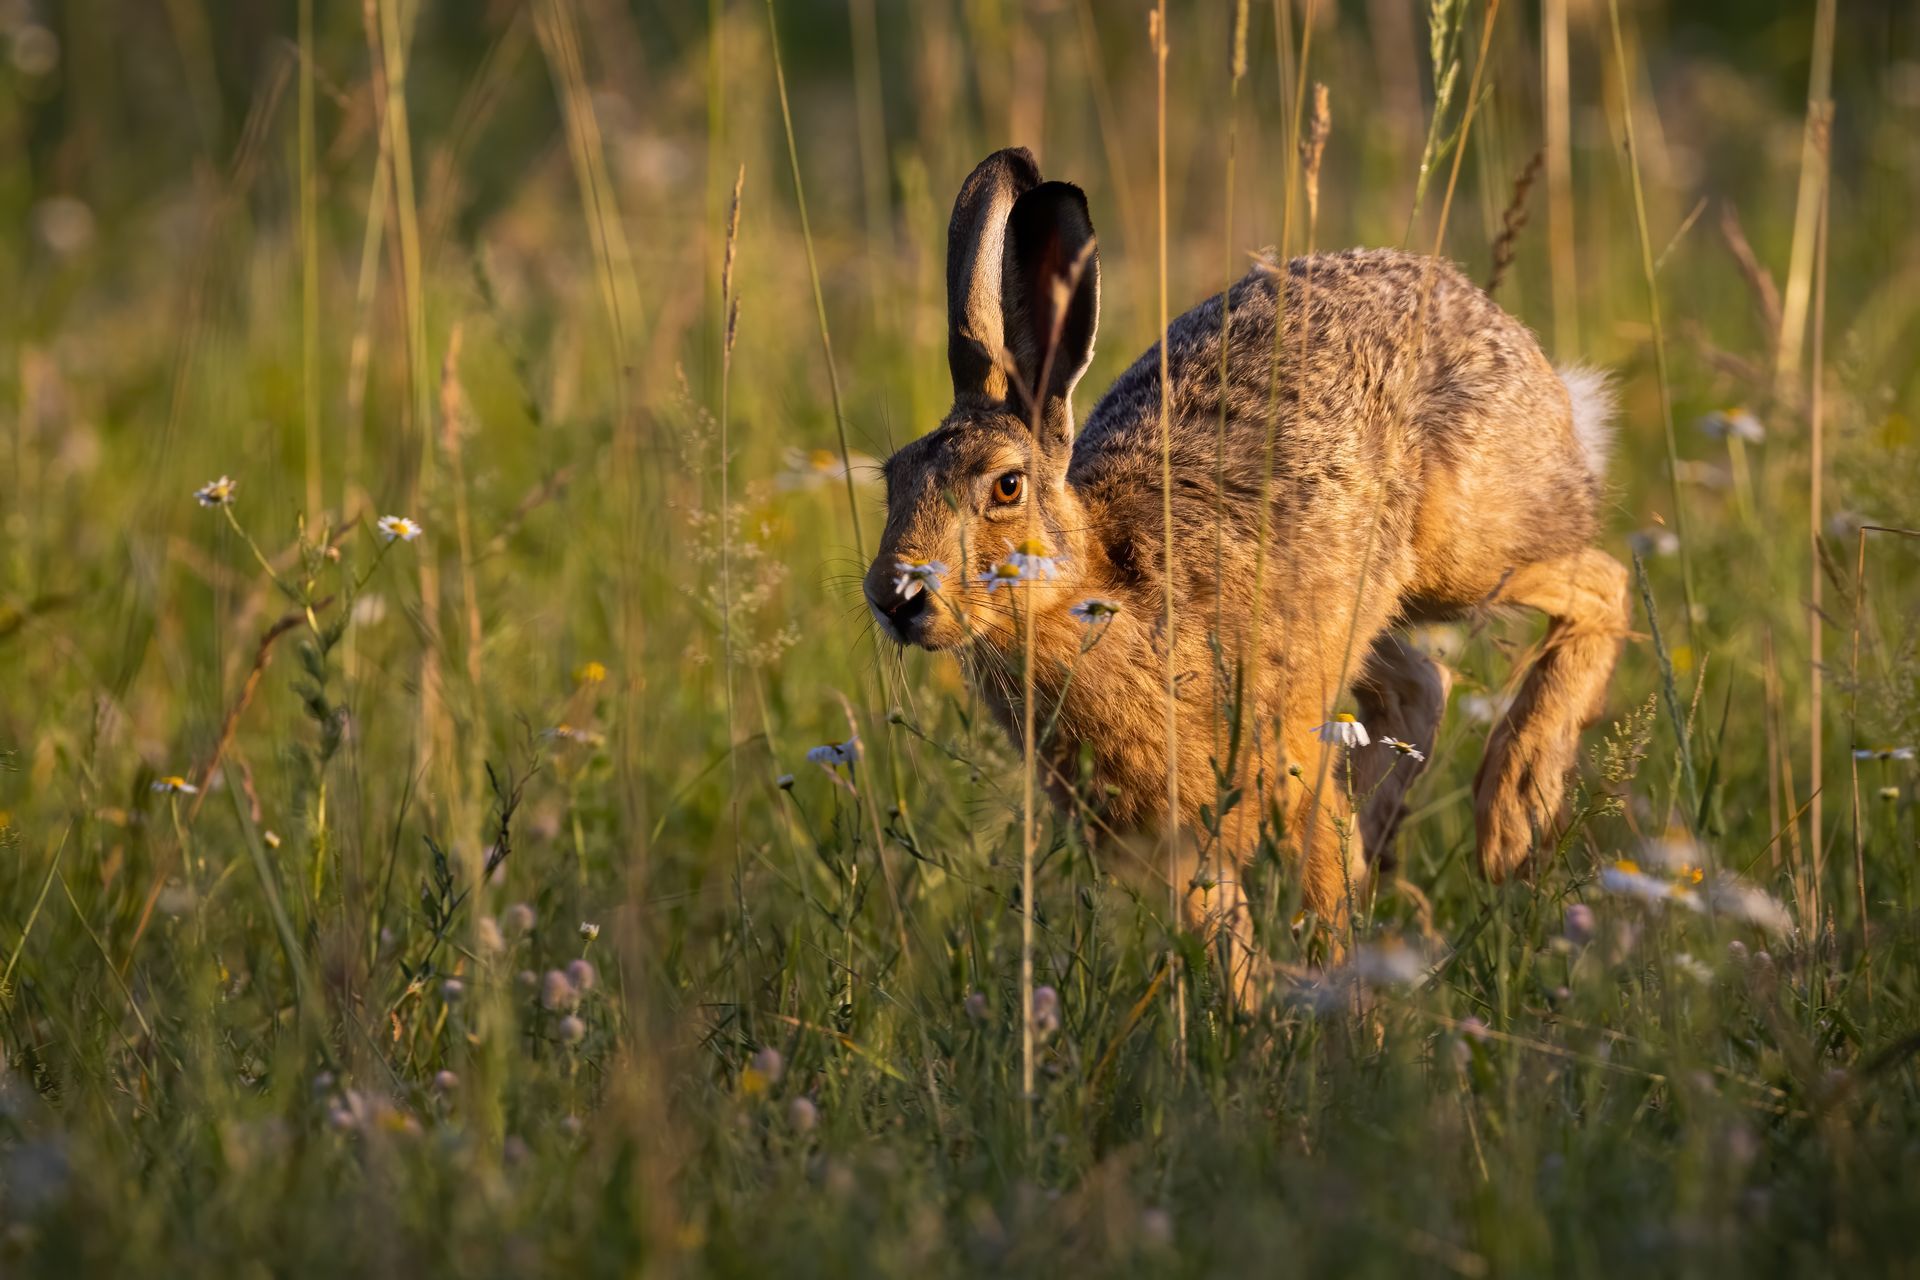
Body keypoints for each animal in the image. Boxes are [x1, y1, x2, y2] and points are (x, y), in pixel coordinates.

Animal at [863, 147, 1630, 984]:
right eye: (893, 480)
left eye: (1006, 487)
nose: (893, 597)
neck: (1096, 589)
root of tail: (1488, 315)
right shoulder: (1176, 849)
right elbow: (1227, 954)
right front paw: (1259, 1010)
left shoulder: (1291, 776)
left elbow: (1323, 908)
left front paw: (1346, 1008)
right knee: (1423, 681)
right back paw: (1391, 843)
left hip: (1465, 554)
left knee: (1603, 582)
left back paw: (1512, 815)